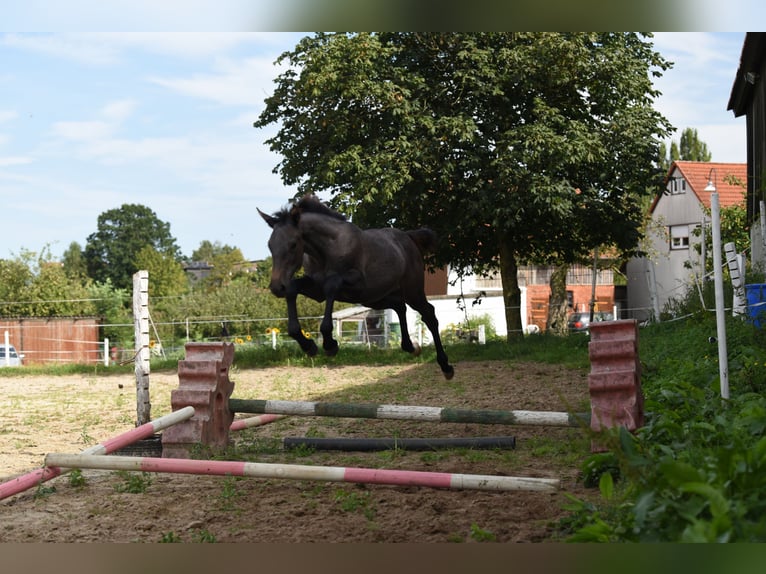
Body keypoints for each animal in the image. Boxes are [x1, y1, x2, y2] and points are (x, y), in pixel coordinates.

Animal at [258, 196, 456, 380]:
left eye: (293, 244)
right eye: (269, 245)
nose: (276, 286)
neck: (326, 249)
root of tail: (409, 238)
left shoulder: (357, 283)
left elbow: (332, 284)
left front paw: (330, 344)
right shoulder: (316, 289)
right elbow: (293, 288)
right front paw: (308, 345)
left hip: (411, 292)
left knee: (429, 315)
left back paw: (446, 366)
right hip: (375, 299)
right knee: (400, 306)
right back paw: (411, 347)